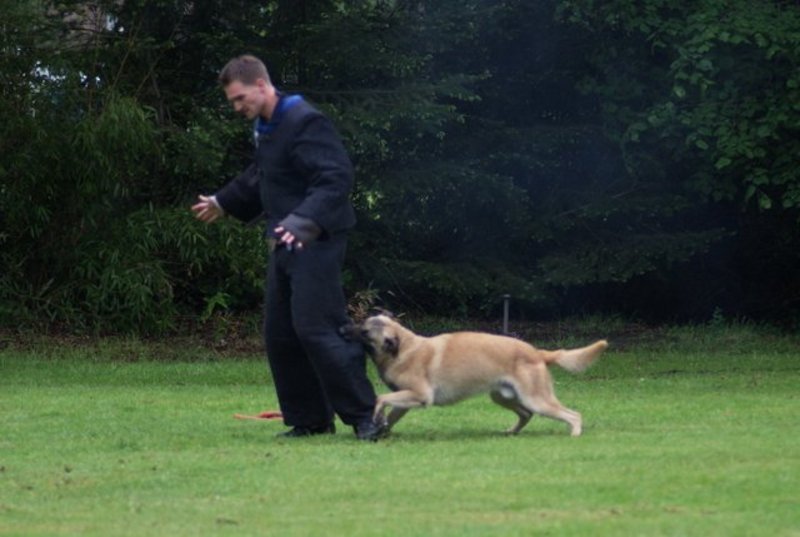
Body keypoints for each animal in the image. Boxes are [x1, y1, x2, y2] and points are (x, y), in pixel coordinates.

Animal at [345, 314, 608, 436]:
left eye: (365, 331)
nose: (341, 328)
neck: (404, 348)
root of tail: (537, 352)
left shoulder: (420, 395)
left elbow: (380, 399)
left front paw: (377, 419)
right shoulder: (407, 400)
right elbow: (391, 413)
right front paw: (381, 429)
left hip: (537, 399)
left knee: (573, 415)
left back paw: (574, 433)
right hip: (504, 397)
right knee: (526, 414)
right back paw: (512, 432)